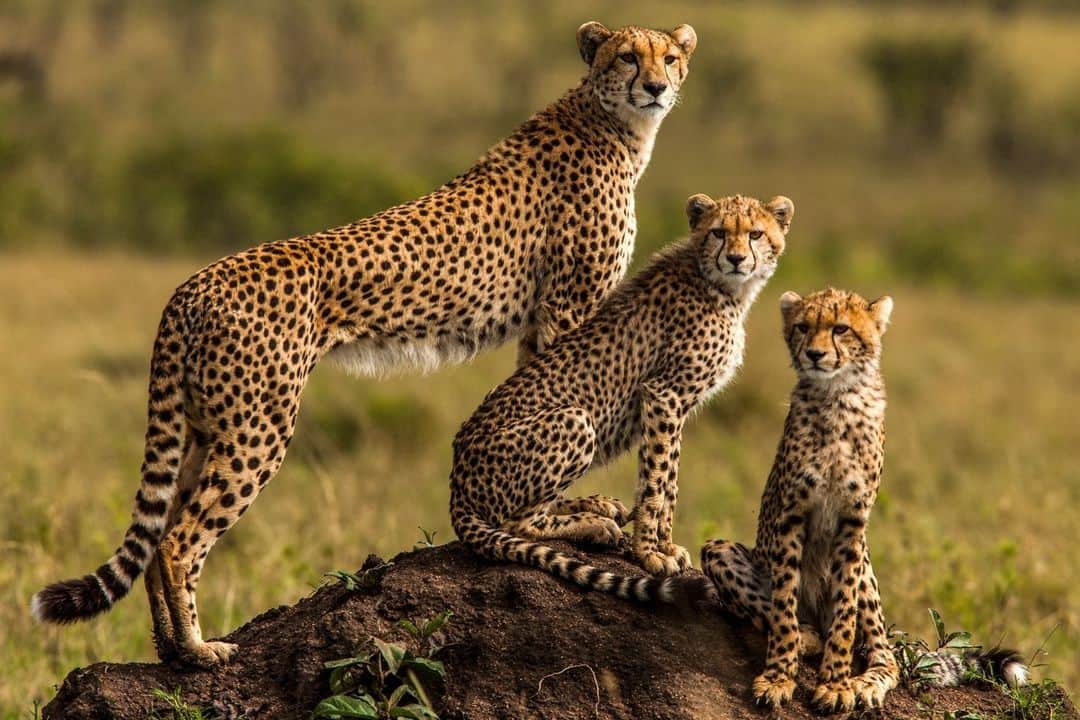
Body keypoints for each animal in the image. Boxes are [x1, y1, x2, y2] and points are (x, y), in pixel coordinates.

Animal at [30, 21, 698, 668]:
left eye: (668, 57)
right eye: (627, 57)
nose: (656, 87)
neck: (614, 125)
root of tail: (193, 283)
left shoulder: (542, 320)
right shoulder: (569, 306)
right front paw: (580, 517)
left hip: (204, 424)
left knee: (161, 526)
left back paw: (169, 651)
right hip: (259, 425)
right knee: (176, 539)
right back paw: (199, 649)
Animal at [450, 193, 794, 591]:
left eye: (755, 234)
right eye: (719, 232)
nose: (737, 258)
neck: (722, 287)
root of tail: (457, 482)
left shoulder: (673, 403)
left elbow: (668, 481)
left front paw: (665, 545)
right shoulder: (664, 395)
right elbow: (655, 484)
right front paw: (650, 554)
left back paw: (597, 506)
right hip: (575, 420)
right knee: (517, 522)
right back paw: (595, 525)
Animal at [700, 287, 1028, 713]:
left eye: (841, 328)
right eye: (802, 327)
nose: (815, 354)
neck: (837, 397)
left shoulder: (853, 523)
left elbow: (844, 612)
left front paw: (837, 684)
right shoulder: (791, 516)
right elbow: (783, 604)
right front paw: (778, 676)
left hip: (868, 575)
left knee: (885, 653)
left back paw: (866, 681)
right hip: (720, 550)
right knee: (776, 611)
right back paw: (807, 637)